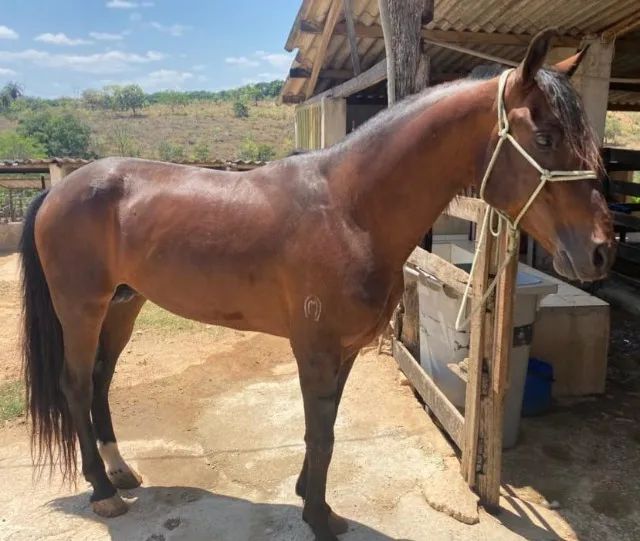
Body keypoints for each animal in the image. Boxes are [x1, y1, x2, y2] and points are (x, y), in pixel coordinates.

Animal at [20, 30, 613, 541]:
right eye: (545, 137)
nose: (601, 250)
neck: (349, 209)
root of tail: (58, 189)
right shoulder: (316, 349)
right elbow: (320, 433)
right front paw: (319, 517)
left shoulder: (343, 350)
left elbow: (325, 430)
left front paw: (312, 497)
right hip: (82, 308)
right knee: (76, 384)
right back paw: (102, 491)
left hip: (124, 304)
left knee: (101, 379)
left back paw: (120, 472)